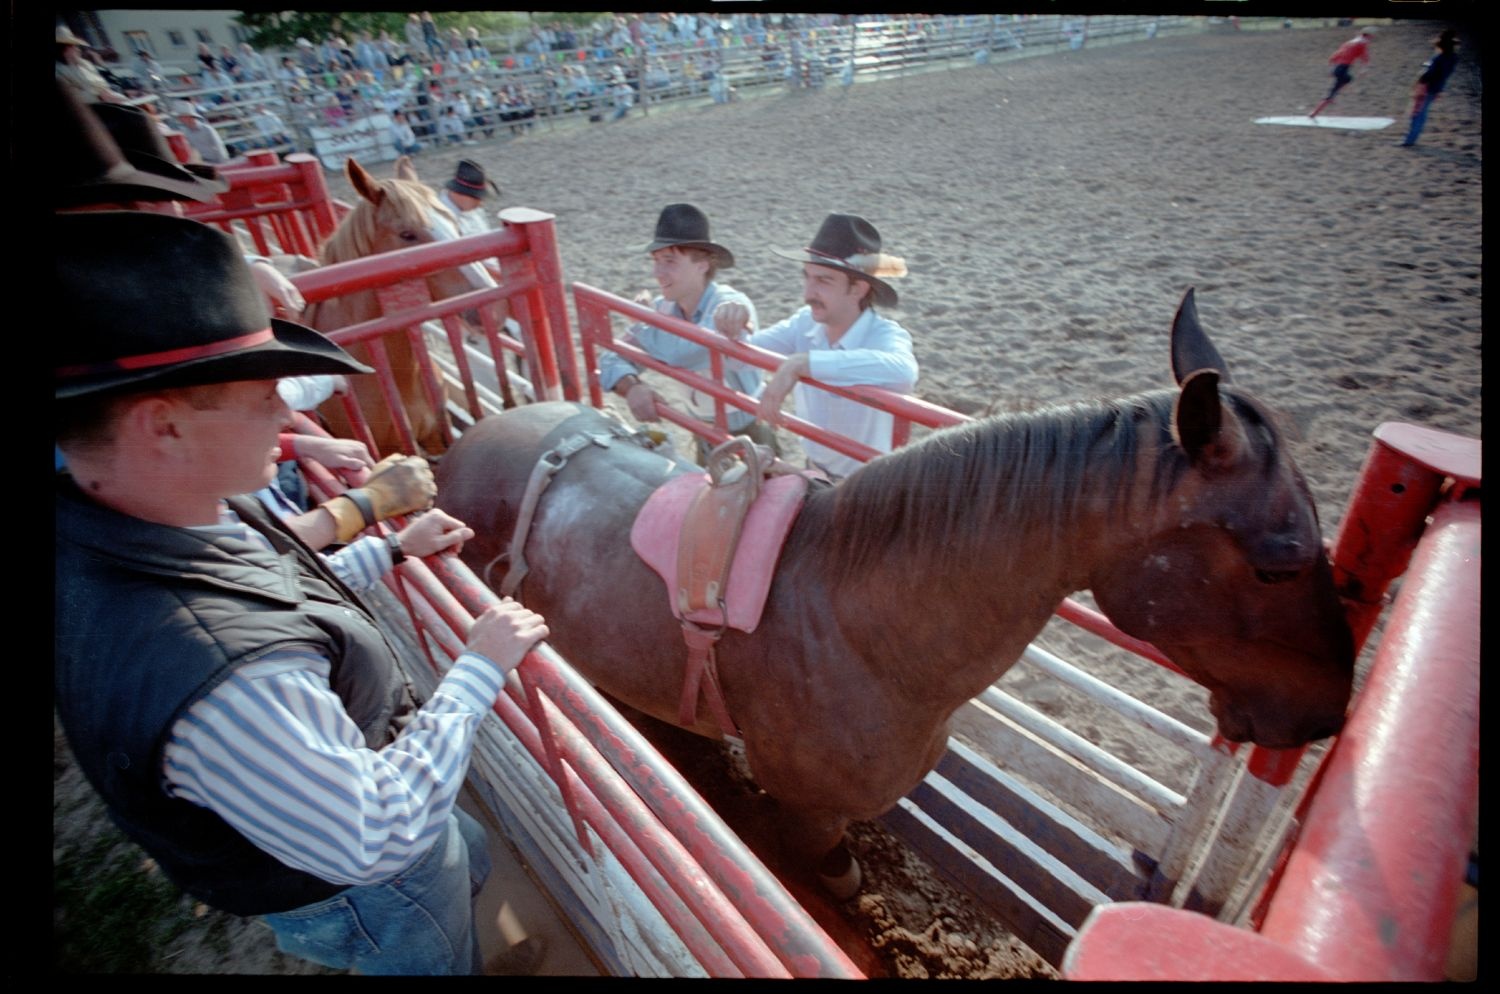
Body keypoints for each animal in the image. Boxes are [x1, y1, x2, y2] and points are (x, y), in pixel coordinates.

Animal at [435, 287, 1362, 893]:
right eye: (1279, 561)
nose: (1328, 714)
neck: (863, 628)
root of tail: (465, 443)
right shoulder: (807, 815)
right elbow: (836, 883)